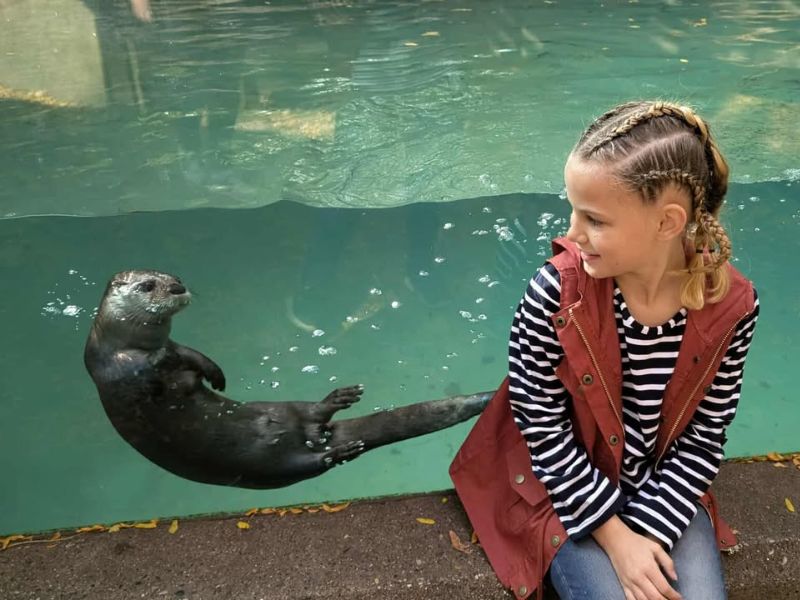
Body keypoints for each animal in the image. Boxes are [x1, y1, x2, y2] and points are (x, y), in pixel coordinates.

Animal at [84, 270, 493, 489]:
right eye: (147, 285)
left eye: (176, 278)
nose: (178, 287)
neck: (130, 347)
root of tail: (311, 436)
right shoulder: (123, 369)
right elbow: (150, 388)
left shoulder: (172, 348)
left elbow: (194, 359)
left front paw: (215, 375)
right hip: (275, 468)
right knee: (313, 462)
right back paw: (339, 450)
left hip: (284, 410)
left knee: (312, 413)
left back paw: (338, 402)